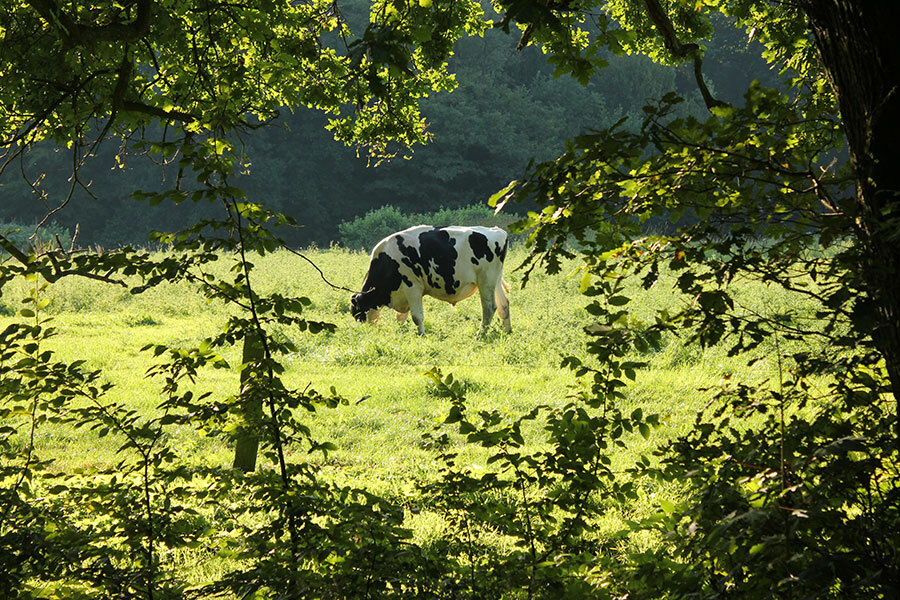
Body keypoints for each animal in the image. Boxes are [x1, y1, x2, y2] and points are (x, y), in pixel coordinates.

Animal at [348, 226, 510, 336]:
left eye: (357, 314)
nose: (366, 332)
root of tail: (498, 231)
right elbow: (400, 317)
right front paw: (401, 331)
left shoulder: (412, 287)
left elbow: (416, 316)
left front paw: (421, 334)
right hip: (496, 280)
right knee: (504, 305)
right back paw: (508, 332)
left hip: (486, 280)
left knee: (489, 308)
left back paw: (480, 335)